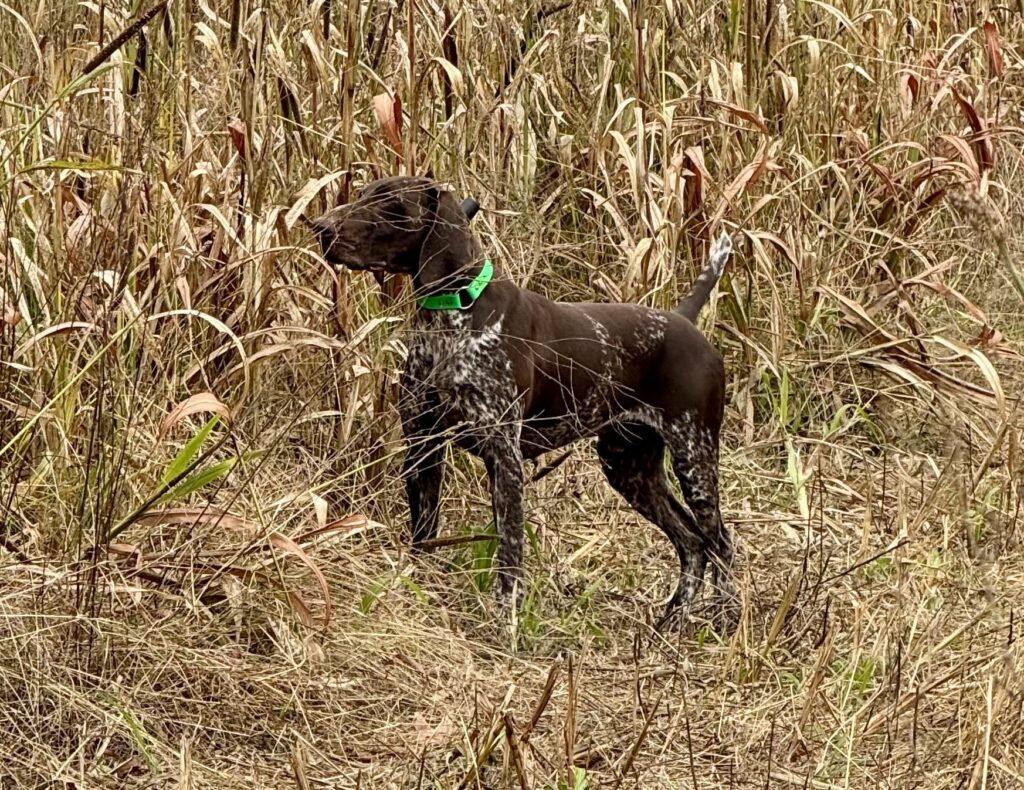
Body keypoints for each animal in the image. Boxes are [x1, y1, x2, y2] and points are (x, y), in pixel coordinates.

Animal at [312, 176, 735, 629]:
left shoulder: (504, 457)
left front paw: (505, 627)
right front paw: (420, 592)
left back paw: (725, 622)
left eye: (391, 203)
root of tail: (682, 320)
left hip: (694, 455)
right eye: (362, 193)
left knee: (720, 542)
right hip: (628, 467)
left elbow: (510, 555)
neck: (452, 316)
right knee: (692, 543)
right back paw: (669, 625)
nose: (319, 226)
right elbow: (424, 534)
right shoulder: (423, 447)